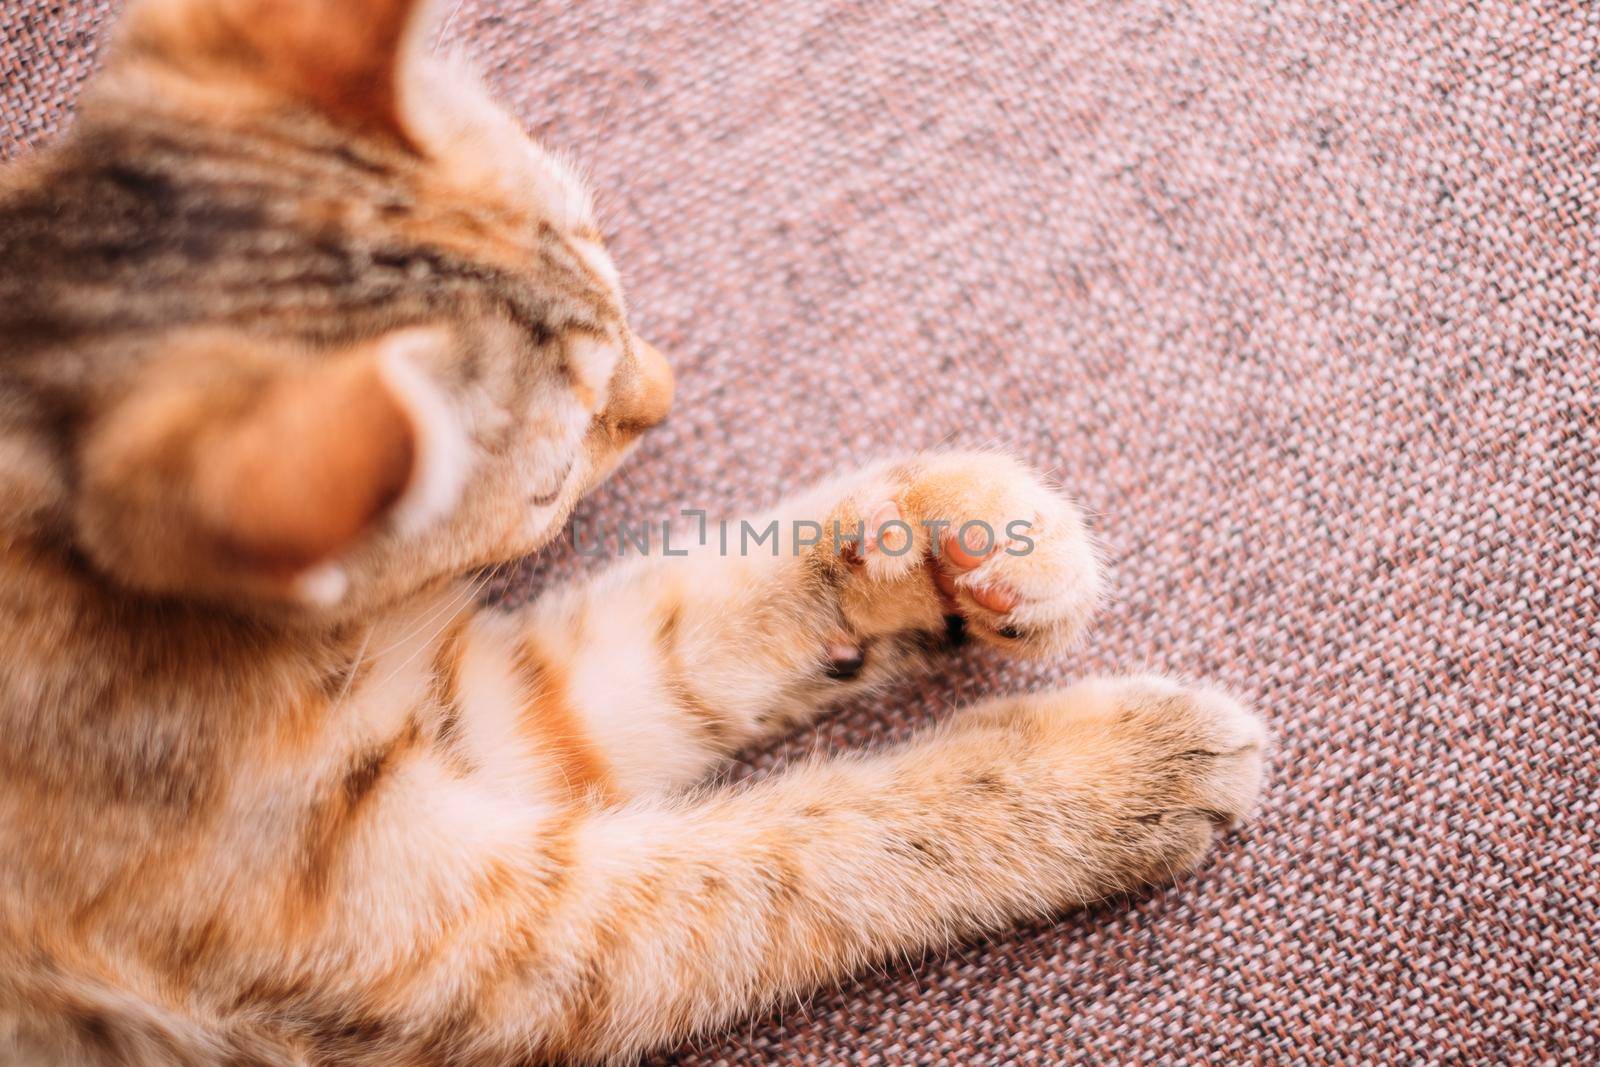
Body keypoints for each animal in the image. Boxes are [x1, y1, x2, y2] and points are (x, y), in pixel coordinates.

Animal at [3, 0, 1273, 1062]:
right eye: (548, 477)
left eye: (602, 243)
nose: (663, 394)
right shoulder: (467, 933)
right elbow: (798, 857)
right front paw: (1095, 775)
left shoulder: (482, 712)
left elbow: (682, 631)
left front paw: (953, 545)